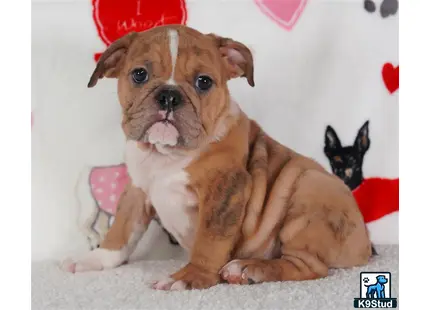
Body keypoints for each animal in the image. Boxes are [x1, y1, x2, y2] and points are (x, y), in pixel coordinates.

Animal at [60, 24, 372, 290]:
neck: (167, 155)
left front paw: (189, 277)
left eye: (204, 82)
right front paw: (95, 259)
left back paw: (247, 269)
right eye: (139, 74)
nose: (169, 95)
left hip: (310, 189)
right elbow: (122, 230)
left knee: (308, 266)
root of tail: (365, 245)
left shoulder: (225, 190)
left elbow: (210, 240)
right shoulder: (137, 190)